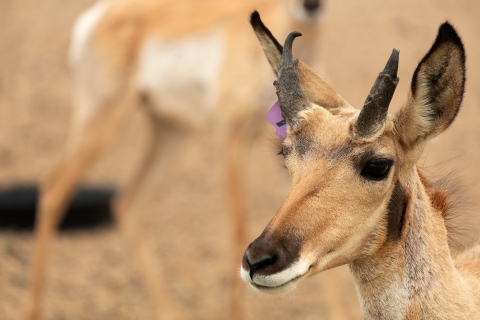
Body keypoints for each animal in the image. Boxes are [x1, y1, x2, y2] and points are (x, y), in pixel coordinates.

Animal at [25, 0, 326, 320]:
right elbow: (238, 227)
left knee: (128, 203)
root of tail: (100, 14)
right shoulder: (232, 140)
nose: (311, 6)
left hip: (170, 132)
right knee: (54, 188)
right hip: (105, 125)